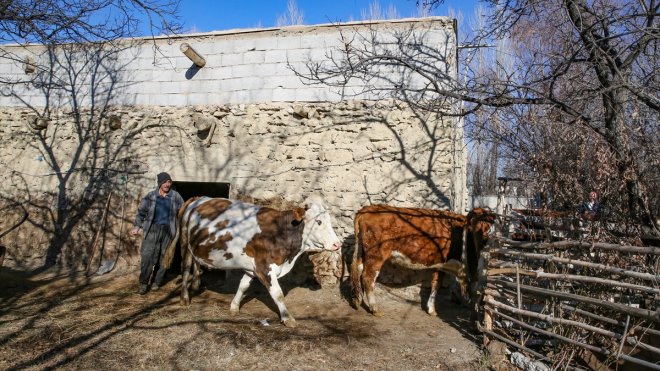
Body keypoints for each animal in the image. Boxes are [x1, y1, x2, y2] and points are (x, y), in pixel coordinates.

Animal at [164, 196, 340, 326]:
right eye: (318, 222)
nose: (337, 244)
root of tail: (197, 199)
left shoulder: (252, 267)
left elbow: (243, 286)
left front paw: (234, 307)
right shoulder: (265, 268)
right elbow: (278, 294)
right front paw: (287, 318)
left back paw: (196, 285)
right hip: (185, 243)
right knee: (185, 268)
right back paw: (185, 298)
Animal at [350, 206, 496, 316]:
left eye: (489, 225)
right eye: (476, 224)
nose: (484, 236)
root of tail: (367, 208)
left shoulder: (440, 263)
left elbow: (436, 284)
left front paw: (431, 309)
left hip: (365, 253)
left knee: (358, 269)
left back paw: (358, 300)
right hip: (376, 255)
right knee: (368, 277)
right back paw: (375, 308)